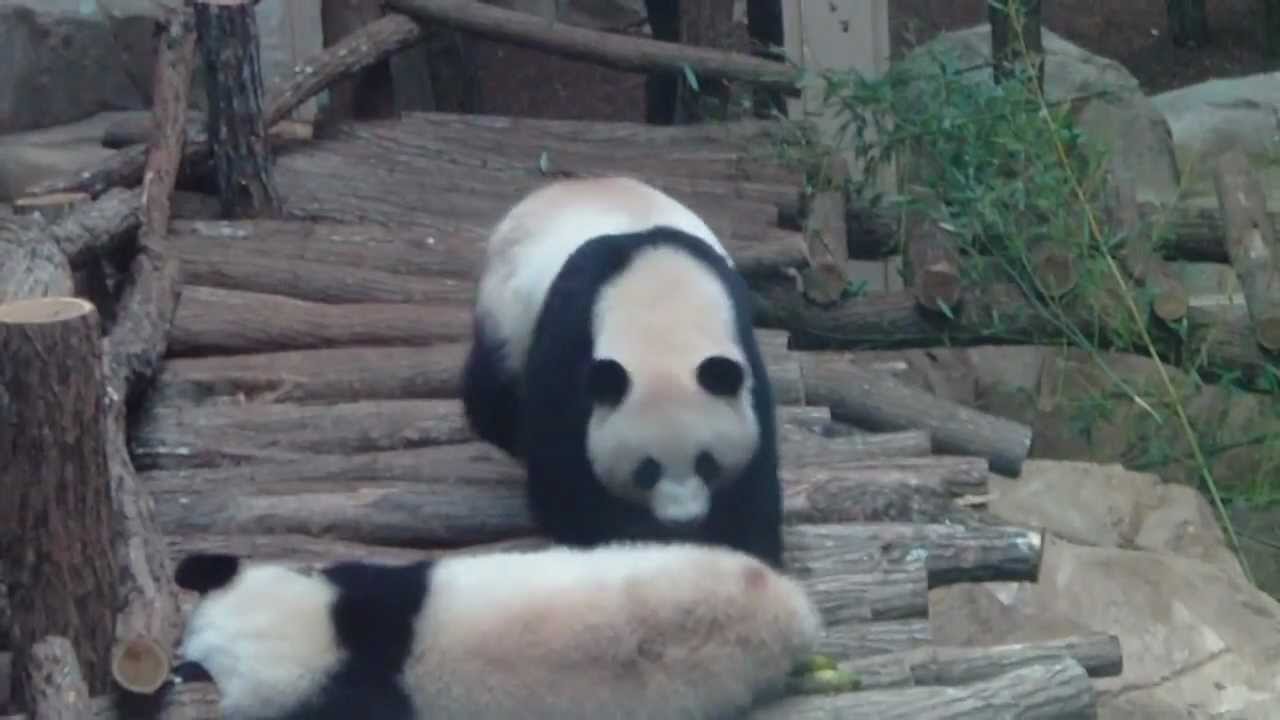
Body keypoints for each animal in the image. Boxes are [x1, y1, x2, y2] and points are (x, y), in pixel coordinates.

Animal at [460, 176, 783, 567]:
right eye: (647, 470)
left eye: (708, 463)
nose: (683, 521)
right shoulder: (570, 337)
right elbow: (562, 462)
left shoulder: (741, 347)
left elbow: (754, 479)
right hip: (505, 312)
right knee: (493, 384)